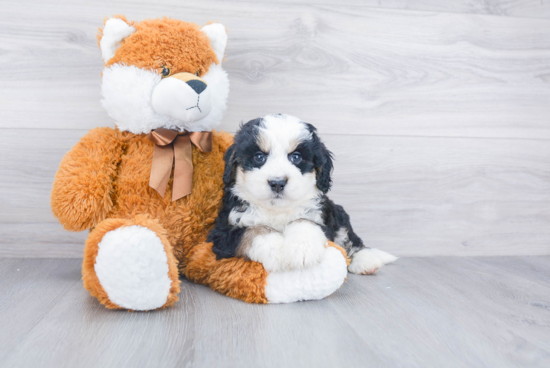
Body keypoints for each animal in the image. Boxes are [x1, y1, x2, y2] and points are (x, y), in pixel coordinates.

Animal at [209, 114, 398, 274]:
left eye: (296, 157)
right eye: (259, 157)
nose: (277, 183)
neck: (277, 211)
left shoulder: (320, 217)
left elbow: (304, 221)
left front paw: (303, 249)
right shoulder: (222, 232)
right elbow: (254, 230)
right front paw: (276, 251)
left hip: (338, 213)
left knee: (350, 238)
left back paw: (366, 260)